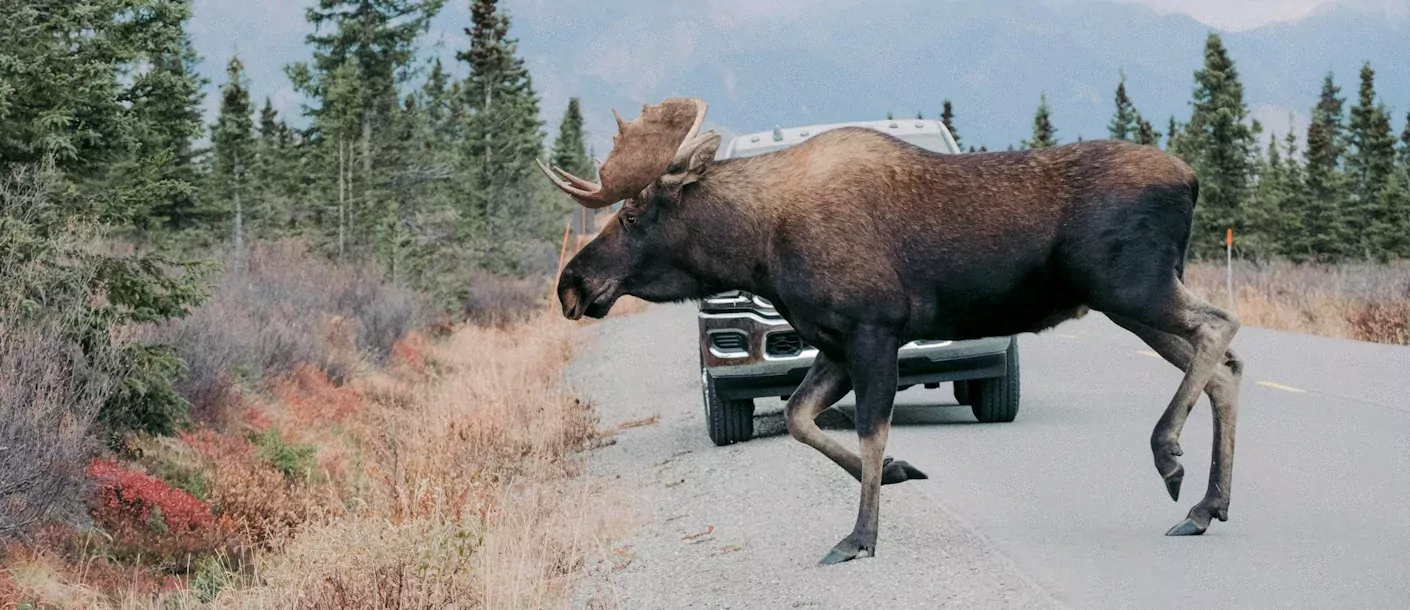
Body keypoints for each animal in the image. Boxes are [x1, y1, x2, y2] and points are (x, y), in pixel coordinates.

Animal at [538, 98, 1246, 560]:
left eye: (633, 216)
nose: (571, 284)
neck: (758, 248)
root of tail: (1192, 178)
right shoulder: (832, 342)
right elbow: (799, 417)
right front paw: (904, 472)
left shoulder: (872, 328)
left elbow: (869, 431)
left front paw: (860, 536)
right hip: (1130, 301)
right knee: (1224, 370)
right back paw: (1206, 508)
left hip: (1132, 287)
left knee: (1221, 329)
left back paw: (1169, 456)